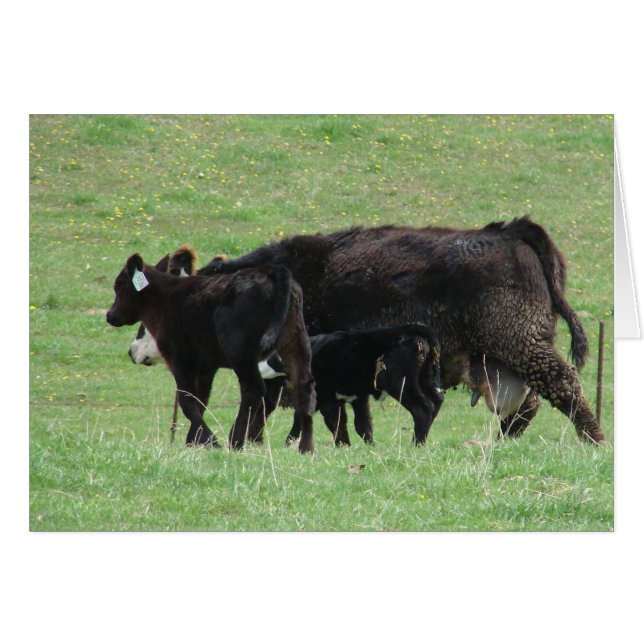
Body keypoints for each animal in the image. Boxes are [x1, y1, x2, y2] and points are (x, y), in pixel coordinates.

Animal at [106, 253, 317, 453]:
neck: (166, 299)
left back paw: (236, 441)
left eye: (119, 285)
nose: (110, 315)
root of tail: (271, 271)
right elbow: (201, 401)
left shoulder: (180, 360)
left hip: (241, 352)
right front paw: (193, 442)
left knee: (253, 389)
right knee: (304, 387)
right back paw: (306, 447)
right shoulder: (206, 366)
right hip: (296, 342)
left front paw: (210, 441)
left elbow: (187, 401)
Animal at [200, 217, 605, 445]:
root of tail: (512, 233)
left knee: (563, 385)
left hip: (522, 344)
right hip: (509, 355)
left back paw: (594, 441)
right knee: (530, 402)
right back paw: (504, 442)